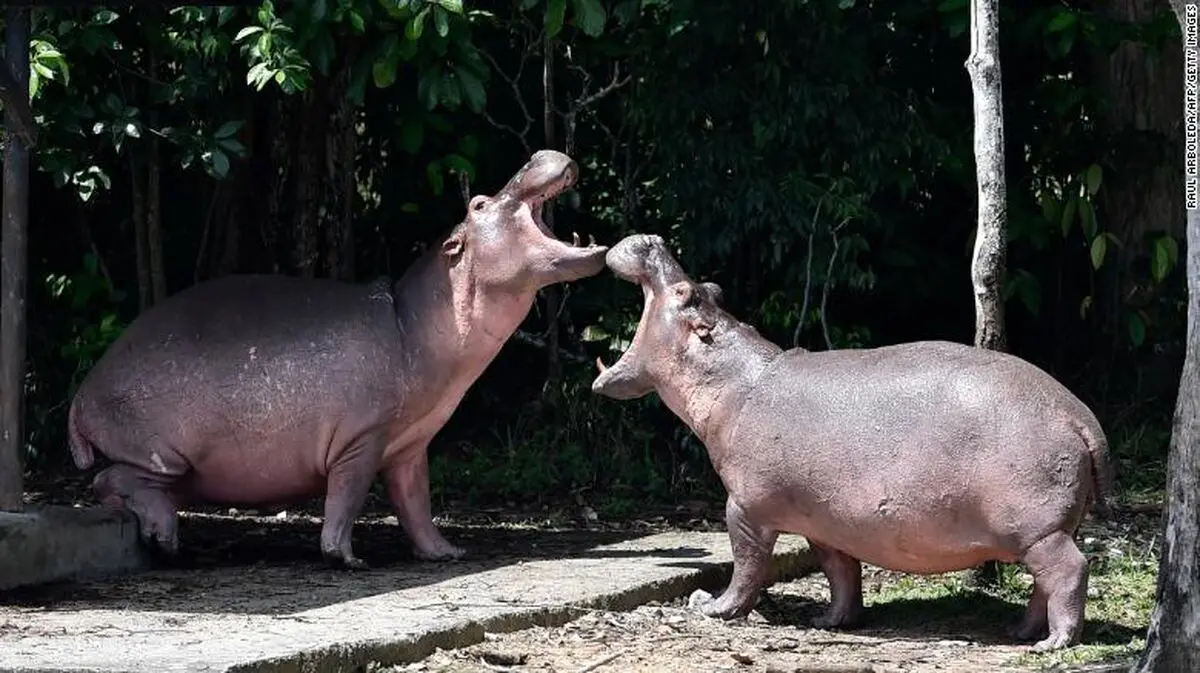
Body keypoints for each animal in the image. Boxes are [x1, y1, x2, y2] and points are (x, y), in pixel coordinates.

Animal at [68, 150, 607, 569]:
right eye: (477, 204)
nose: (537, 155)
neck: (414, 320)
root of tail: (81, 395)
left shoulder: (410, 443)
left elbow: (416, 503)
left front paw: (446, 553)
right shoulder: (362, 438)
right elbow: (346, 498)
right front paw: (347, 558)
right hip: (165, 454)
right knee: (110, 480)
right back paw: (165, 538)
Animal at [590, 234, 1113, 651]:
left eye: (687, 293)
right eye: (711, 289)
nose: (652, 238)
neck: (733, 380)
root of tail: (1080, 415)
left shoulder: (745, 508)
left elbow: (747, 565)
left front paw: (712, 606)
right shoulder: (824, 523)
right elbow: (840, 573)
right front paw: (829, 620)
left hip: (1038, 530)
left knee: (1069, 571)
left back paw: (1052, 643)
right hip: (1039, 532)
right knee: (1043, 583)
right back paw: (1019, 631)